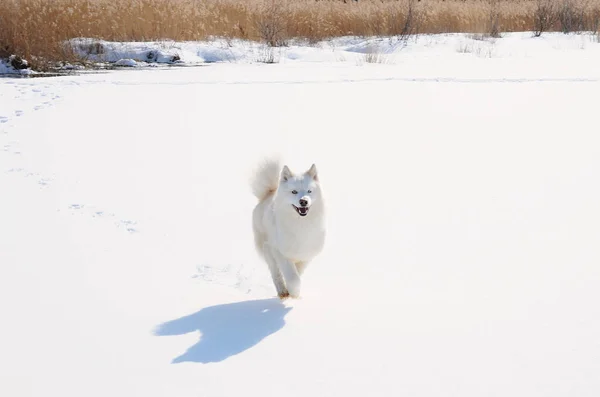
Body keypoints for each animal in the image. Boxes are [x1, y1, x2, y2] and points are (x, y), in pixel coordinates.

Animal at [253, 158, 328, 296]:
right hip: (268, 250)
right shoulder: (280, 253)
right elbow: (293, 278)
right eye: (294, 192)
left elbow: (298, 273)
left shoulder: (306, 256)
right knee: (275, 273)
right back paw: (282, 291)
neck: (301, 225)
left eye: (309, 191)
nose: (303, 201)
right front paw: (294, 293)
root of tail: (269, 193)